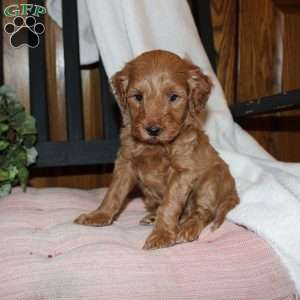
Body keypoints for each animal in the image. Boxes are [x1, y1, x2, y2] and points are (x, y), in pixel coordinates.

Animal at [75, 49, 239, 251]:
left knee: (203, 212)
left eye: (173, 97)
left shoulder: (182, 171)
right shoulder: (125, 163)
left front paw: (162, 235)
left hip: (210, 181)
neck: (154, 147)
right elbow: (114, 192)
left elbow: (170, 204)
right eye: (138, 96)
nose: (153, 129)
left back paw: (187, 228)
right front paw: (100, 215)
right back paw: (155, 217)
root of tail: (233, 192)